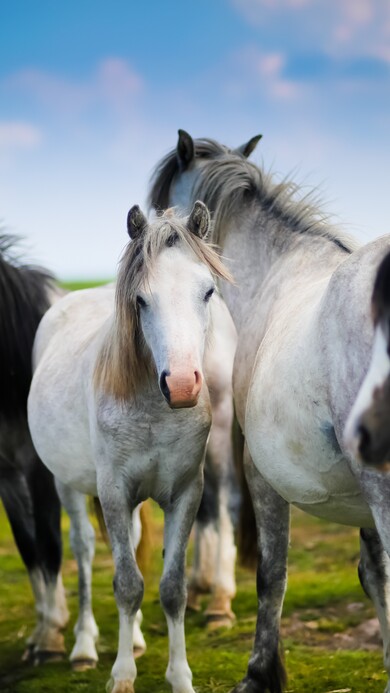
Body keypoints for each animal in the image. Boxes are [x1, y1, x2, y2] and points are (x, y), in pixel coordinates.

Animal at [29, 204, 230, 692]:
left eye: (207, 291)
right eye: (140, 300)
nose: (182, 385)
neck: (154, 410)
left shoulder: (185, 494)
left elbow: (172, 588)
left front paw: (180, 677)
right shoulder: (114, 494)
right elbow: (126, 584)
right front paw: (121, 676)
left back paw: (135, 638)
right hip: (68, 485)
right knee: (83, 551)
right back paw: (83, 647)